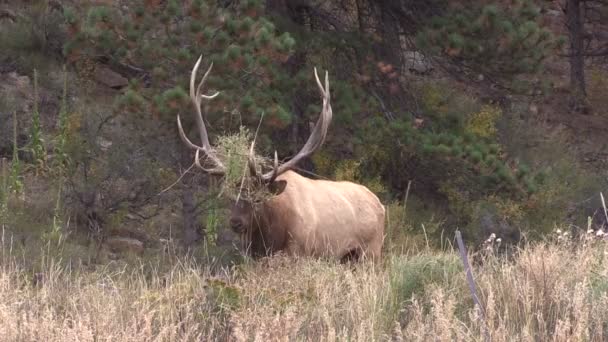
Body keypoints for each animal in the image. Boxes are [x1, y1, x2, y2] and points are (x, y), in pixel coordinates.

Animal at [178, 56, 384, 262]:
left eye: (258, 199)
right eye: (231, 197)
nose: (236, 222)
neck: (271, 239)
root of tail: (381, 205)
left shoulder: (301, 253)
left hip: (371, 252)